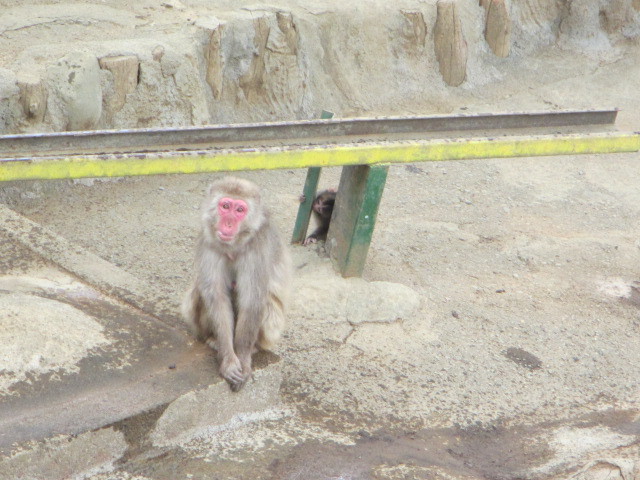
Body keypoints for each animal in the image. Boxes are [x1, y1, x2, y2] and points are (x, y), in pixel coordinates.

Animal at [182, 176, 292, 390]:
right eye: (225, 206)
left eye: (240, 210)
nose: (229, 224)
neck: (236, 244)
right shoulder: (209, 243)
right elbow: (217, 297)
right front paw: (229, 361)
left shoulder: (258, 247)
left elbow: (252, 299)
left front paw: (242, 358)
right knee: (201, 292)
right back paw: (213, 339)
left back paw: (254, 348)